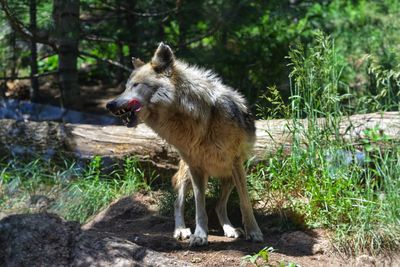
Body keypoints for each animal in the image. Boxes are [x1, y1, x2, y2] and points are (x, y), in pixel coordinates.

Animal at [106, 43, 264, 247]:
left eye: (135, 85)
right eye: (125, 88)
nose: (110, 104)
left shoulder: (236, 163)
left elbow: (245, 203)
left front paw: (254, 232)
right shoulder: (196, 168)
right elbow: (199, 207)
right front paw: (200, 235)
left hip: (230, 175)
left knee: (219, 206)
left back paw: (229, 229)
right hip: (188, 174)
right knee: (178, 203)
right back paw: (181, 230)